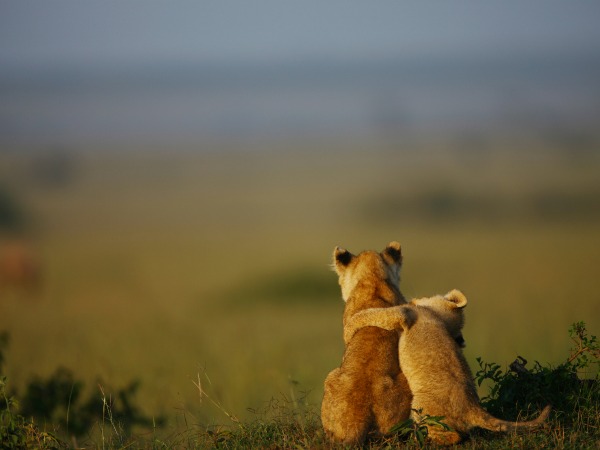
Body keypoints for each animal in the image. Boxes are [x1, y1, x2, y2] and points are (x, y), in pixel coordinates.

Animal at [344, 290, 552, 444]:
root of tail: (472, 408)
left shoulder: (405, 314)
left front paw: (350, 326)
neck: (437, 317)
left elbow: (374, 314)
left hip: (421, 404)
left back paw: (423, 439)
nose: (415, 298)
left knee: (453, 436)